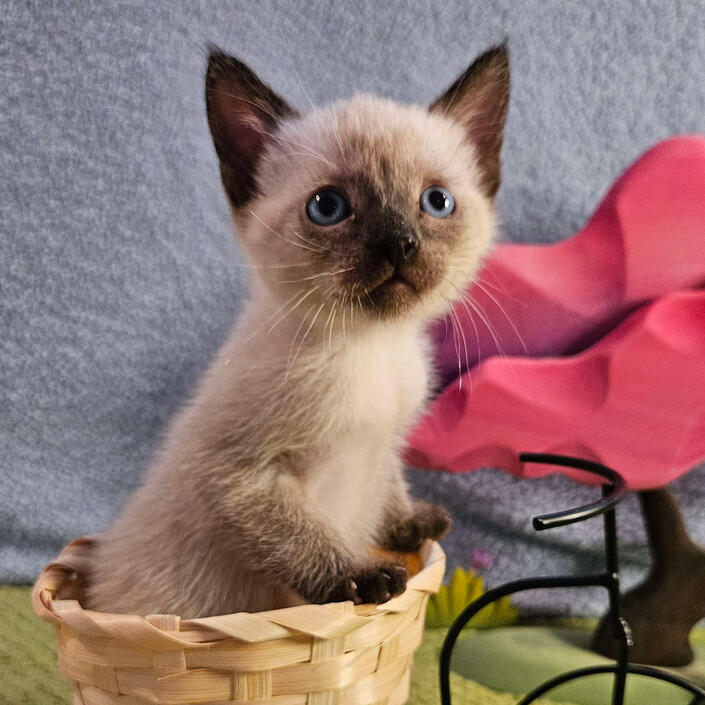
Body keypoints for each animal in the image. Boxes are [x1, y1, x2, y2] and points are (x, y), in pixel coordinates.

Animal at [85, 45, 508, 616]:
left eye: (436, 201)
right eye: (328, 207)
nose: (397, 243)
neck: (373, 346)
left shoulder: (387, 445)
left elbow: (388, 484)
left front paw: (409, 524)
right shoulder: (240, 476)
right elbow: (304, 536)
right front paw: (364, 578)